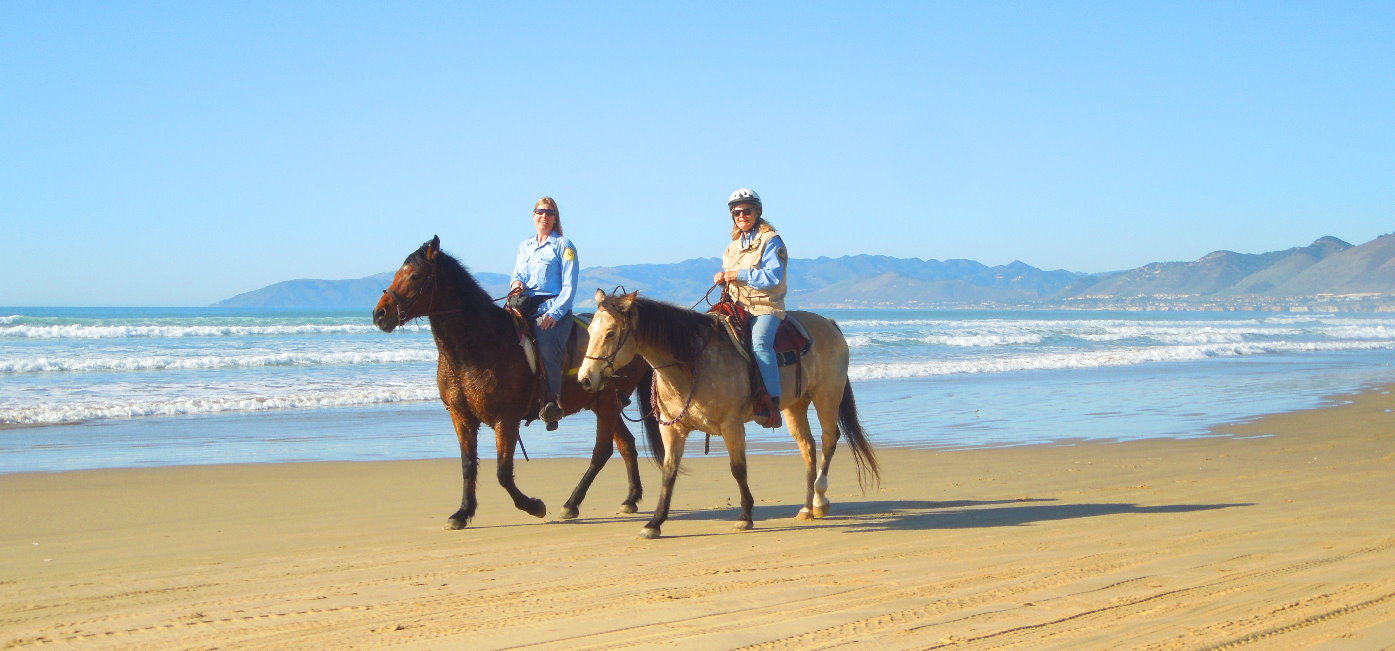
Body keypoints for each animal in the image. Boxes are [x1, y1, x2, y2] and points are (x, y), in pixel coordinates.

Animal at [372, 236, 657, 528]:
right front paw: (462, 512)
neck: (479, 344)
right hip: (603, 403)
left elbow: (503, 472)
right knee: (626, 444)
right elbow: (468, 465)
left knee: (601, 452)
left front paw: (534, 506)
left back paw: (572, 503)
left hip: (606, 403)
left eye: (415, 276)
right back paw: (630, 498)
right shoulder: (460, 415)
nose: (379, 314)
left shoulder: (505, 418)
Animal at [577, 289, 879, 539]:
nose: (585, 379)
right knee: (808, 447)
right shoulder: (672, 429)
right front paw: (655, 523)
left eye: (611, 333)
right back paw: (806, 508)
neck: (692, 363)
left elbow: (738, 468)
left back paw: (819, 500)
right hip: (796, 405)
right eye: (589, 330)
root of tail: (829, 323)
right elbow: (669, 472)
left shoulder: (732, 425)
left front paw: (745, 516)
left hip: (827, 395)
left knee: (829, 440)